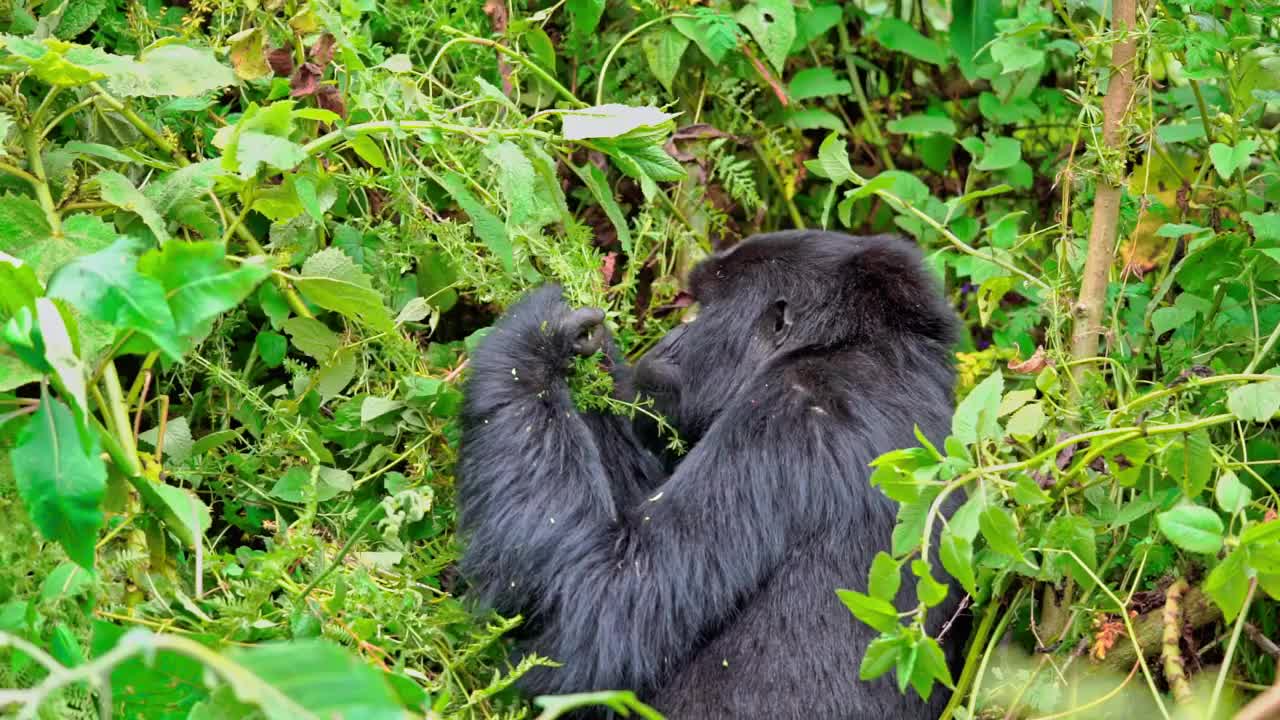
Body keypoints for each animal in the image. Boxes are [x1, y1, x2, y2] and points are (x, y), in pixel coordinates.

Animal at [458, 229, 962, 717]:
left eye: (701, 307)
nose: (667, 341)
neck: (853, 345)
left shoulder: (785, 416)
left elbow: (607, 600)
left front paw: (534, 338)